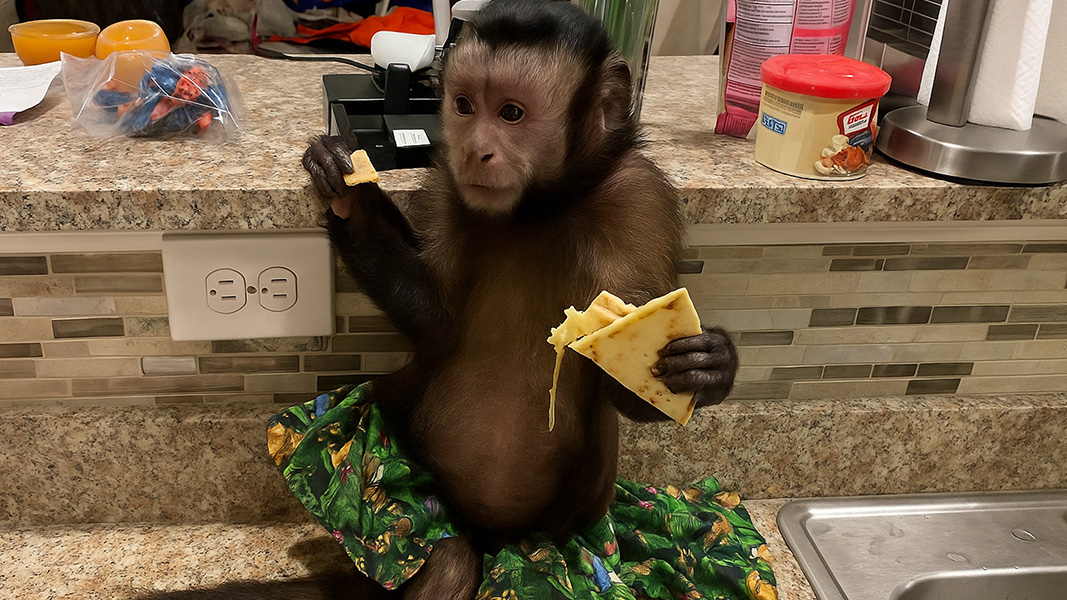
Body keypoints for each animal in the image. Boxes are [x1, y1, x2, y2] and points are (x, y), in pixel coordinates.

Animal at [140, 1, 738, 599]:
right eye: (464, 106)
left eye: (512, 113)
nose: (475, 149)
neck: (538, 209)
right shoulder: (449, 184)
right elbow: (435, 321)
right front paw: (349, 191)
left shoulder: (639, 202)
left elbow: (630, 377)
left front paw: (707, 367)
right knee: (446, 555)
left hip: (551, 546)